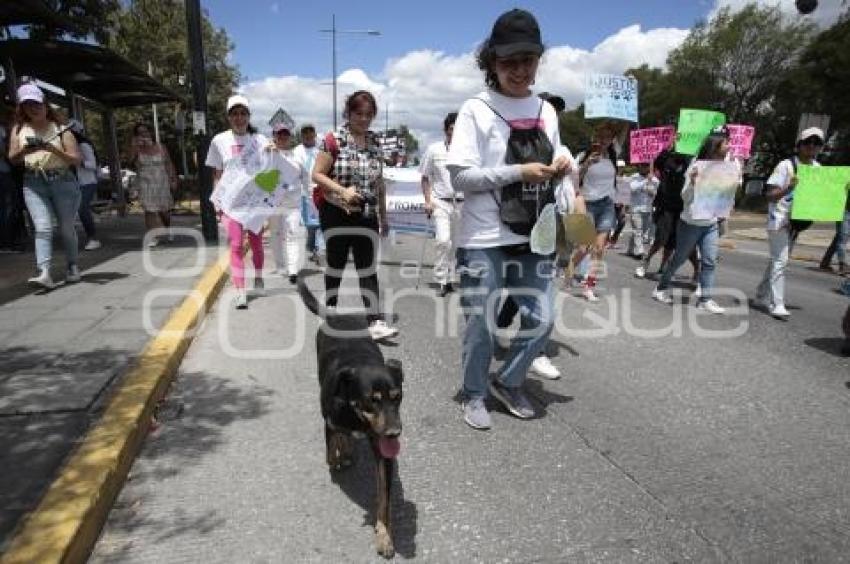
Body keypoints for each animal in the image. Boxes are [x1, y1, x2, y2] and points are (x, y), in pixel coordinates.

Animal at [296, 270, 402, 556]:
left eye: (397, 397)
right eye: (371, 401)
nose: (395, 433)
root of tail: (336, 315)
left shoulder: (382, 449)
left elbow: (385, 498)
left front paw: (384, 535)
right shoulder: (331, 419)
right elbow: (330, 449)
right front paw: (338, 455)